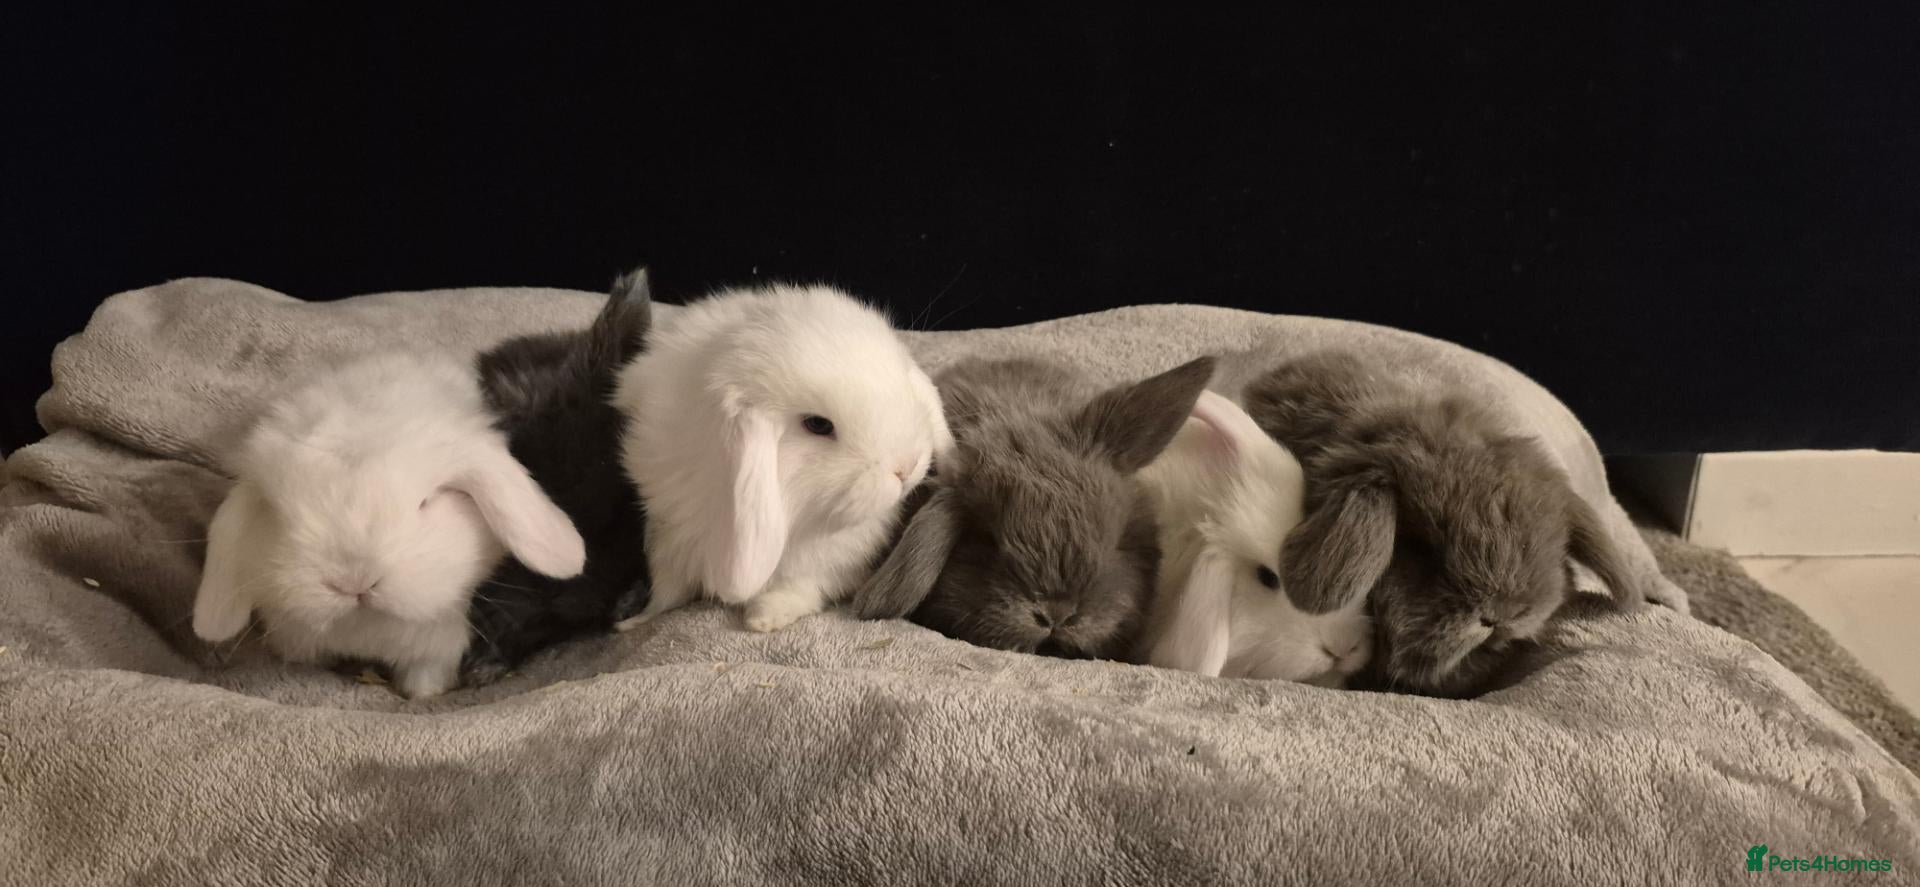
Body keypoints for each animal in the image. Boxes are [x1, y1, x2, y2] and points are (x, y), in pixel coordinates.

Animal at [191, 353, 587, 698]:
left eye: (425, 503)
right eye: (279, 512)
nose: (354, 582)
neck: (368, 631)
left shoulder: (438, 648)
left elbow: (425, 680)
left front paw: (424, 695)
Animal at [611, 283, 953, 634]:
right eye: (818, 425)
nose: (907, 466)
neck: (807, 519)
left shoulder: (831, 565)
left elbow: (806, 587)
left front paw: (766, 617)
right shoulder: (669, 536)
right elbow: (667, 590)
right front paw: (634, 622)